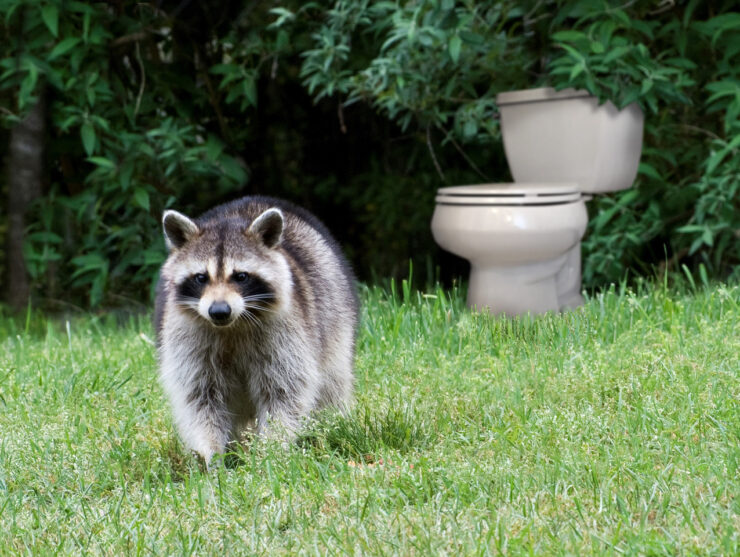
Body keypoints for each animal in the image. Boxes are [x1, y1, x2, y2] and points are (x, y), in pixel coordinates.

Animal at [154, 195, 358, 464]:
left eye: (241, 276)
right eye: (201, 278)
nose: (219, 311)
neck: (232, 326)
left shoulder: (288, 334)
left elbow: (284, 392)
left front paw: (272, 449)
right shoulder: (187, 339)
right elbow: (201, 398)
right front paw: (210, 451)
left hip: (335, 318)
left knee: (333, 381)